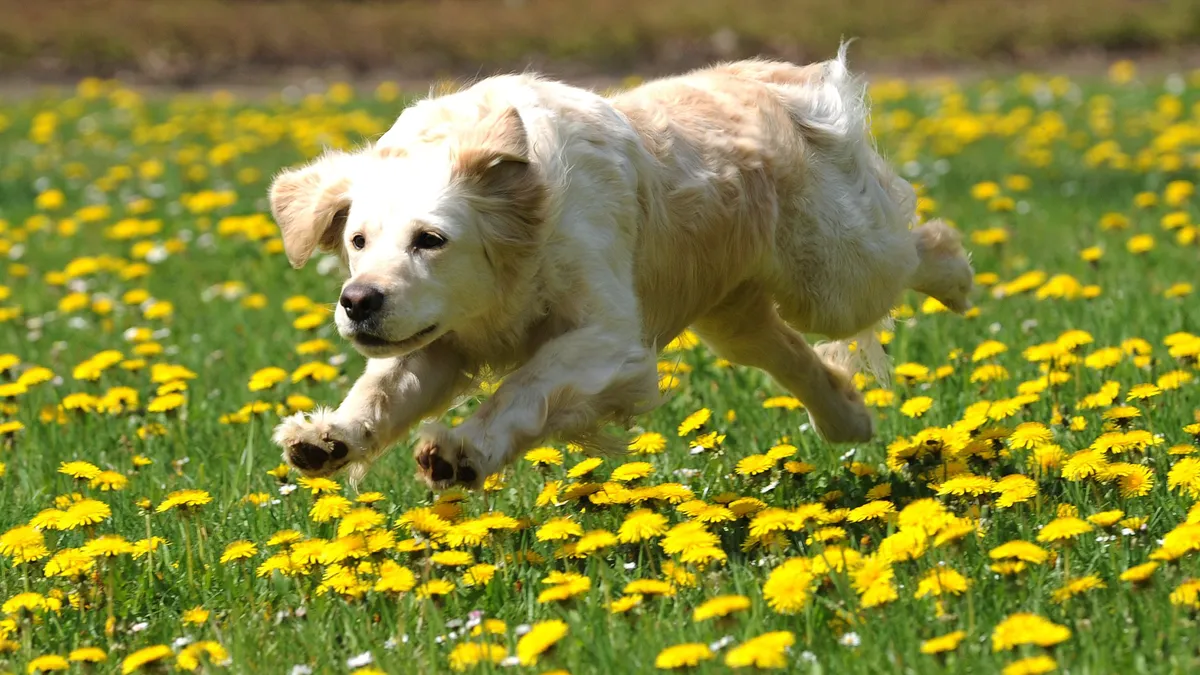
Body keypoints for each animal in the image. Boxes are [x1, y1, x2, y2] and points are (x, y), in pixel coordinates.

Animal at [265, 47, 974, 487]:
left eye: (431, 240)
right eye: (358, 240)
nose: (358, 302)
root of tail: (777, 79)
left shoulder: (609, 338)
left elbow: (525, 386)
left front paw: (463, 451)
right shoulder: (446, 339)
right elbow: (382, 388)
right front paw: (327, 437)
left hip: (832, 278)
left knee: (914, 249)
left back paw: (959, 278)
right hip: (735, 318)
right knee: (795, 357)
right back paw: (849, 418)